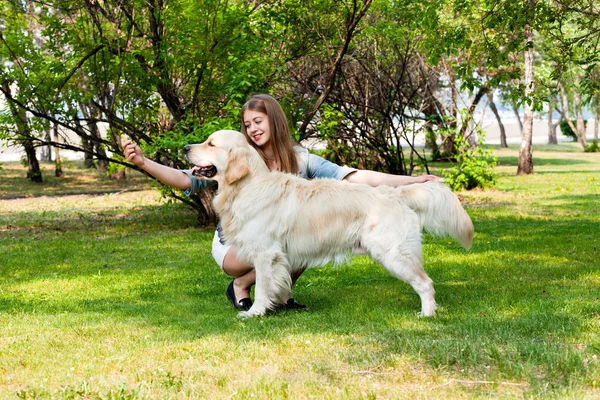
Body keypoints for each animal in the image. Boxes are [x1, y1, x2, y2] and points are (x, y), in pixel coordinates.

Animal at [185, 130, 476, 318]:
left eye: (211, 144)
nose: (185, 148)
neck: (245, 186)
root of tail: (394, 193)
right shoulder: (278, 256)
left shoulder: (266, 253)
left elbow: (264, 286)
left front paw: (255, 312)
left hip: (394, 254)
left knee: (426, 283)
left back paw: (426, 315)